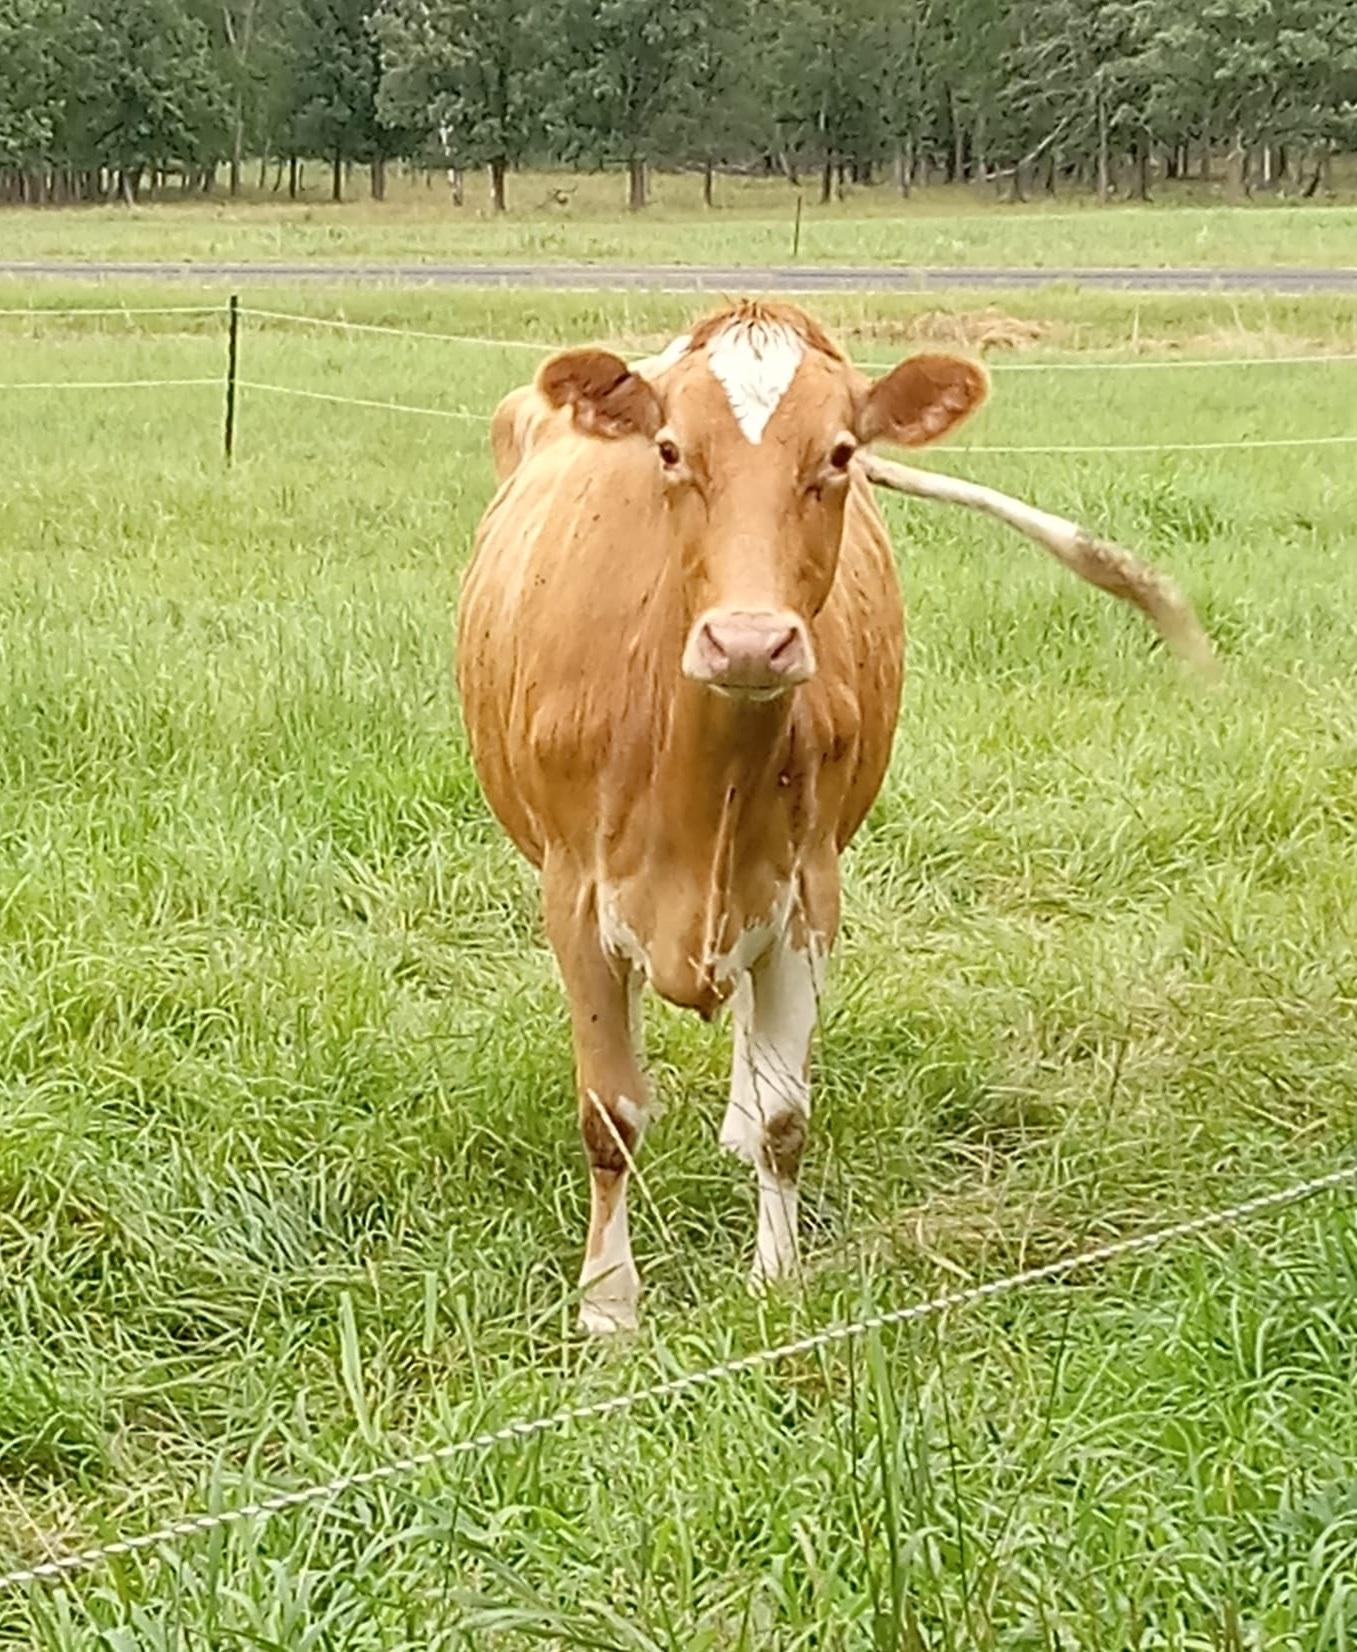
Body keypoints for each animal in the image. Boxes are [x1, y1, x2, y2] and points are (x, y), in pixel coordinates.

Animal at [458, 300, 1213, 1334]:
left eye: (841, 453)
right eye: (667, 449)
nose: (748, 641)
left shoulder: (808, 889)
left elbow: (786, 1117)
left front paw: (775, 1278)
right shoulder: (573, 896)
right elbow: (610, 1115)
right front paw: (608, 1307)